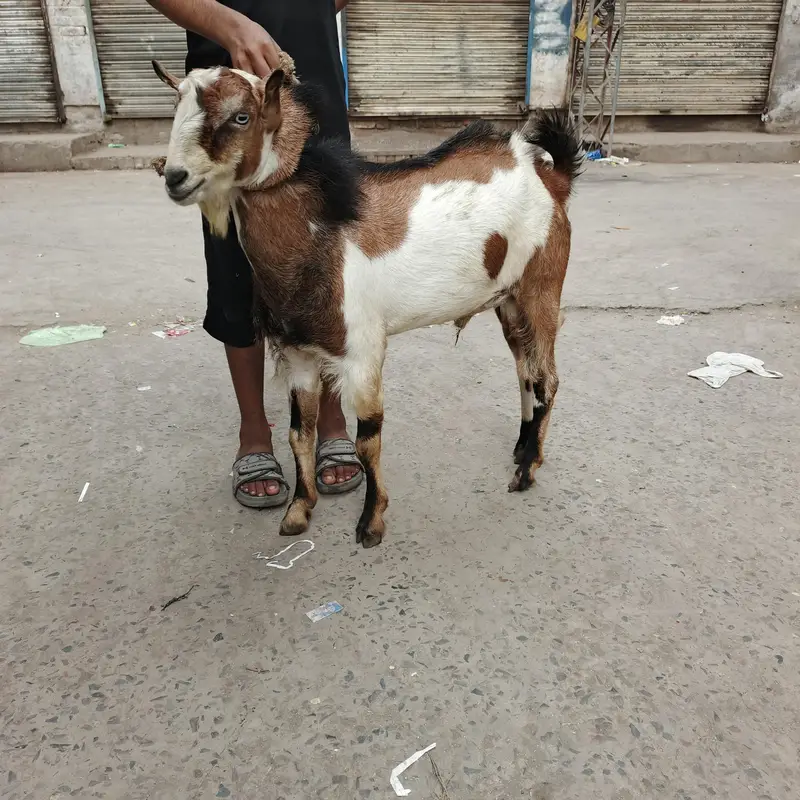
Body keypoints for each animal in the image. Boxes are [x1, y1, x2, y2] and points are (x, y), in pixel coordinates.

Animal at [152, 60, 582, 548]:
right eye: (176, 106)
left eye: (241, 117)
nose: (175, 177)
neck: (319, 238)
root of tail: (550, 178)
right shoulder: (298, 352)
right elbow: (299, 434)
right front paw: (299, 510)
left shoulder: (362, 353)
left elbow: (367, 440)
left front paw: (371, 522)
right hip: (507, 299)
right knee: (525, 372)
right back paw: (522, 448)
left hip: (541, 286)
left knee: (547, 379)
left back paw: (527, 472)